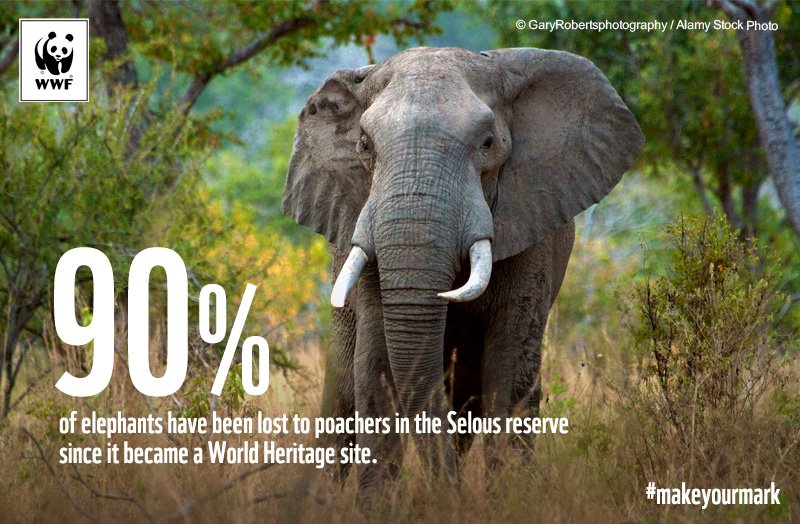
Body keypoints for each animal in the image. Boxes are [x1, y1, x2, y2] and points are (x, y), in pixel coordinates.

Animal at [282, 47, 643, 504]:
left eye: (488, 143)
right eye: (364, 145)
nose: (446, 494)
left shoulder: (532, 225)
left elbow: (510, 371)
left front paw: (507, 502)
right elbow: (375, 370)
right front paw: (380, 508)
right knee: (343, 396)